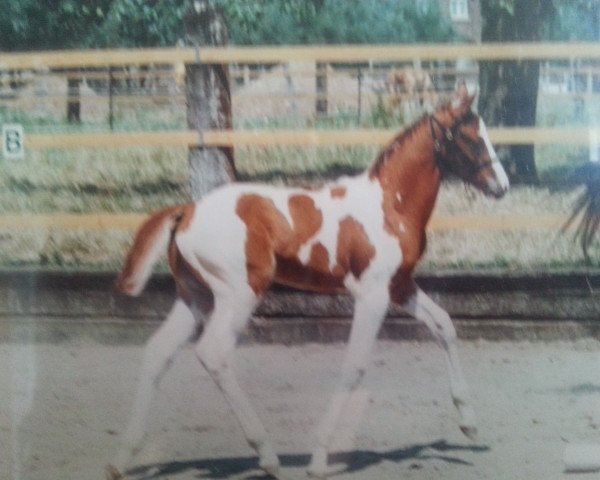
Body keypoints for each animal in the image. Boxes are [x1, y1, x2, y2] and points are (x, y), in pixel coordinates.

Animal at [105, 83, 508, 480]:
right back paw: (267, 456)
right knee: (213, 354)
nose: (501, 185)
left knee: (157, 352)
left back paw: (121, 459)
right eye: (473, 138)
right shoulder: (372, 293)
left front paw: (468, 423)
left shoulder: (399, 286)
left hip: (195, 298)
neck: (389, 206)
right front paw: (318, 457)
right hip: (238, 295)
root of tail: (187, 211)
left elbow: (444, 325)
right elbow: (355, 364)